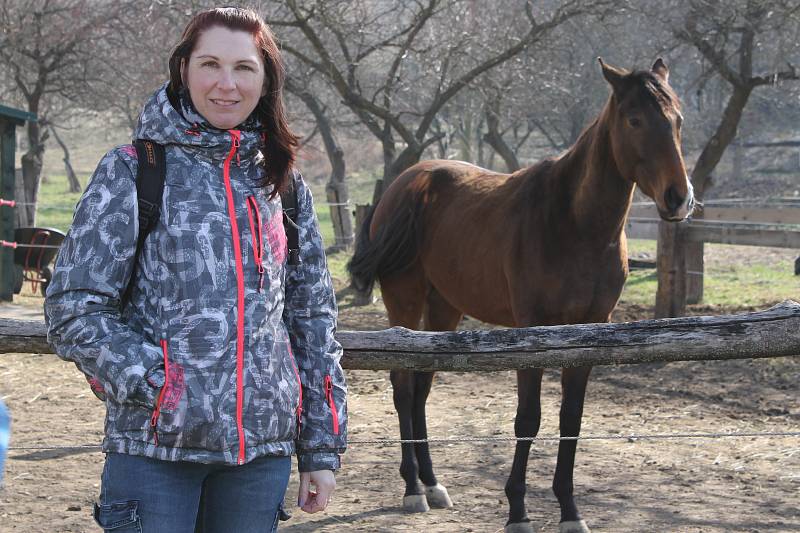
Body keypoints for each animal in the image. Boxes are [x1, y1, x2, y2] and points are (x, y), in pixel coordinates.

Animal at [348, 59, 692, 532]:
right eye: (634, 119)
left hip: (444, 310)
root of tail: (404, 185)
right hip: (405, 302)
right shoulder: (532, 330)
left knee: (420, 389)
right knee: (402, 389)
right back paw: (413, 489)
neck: (574, 223)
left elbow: (571, 418)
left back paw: (433, 484)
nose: (679, 198)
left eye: (677, 121)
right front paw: (517, 511)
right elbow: (529, 418)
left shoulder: (590, 331)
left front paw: (570, 511)